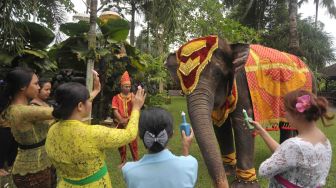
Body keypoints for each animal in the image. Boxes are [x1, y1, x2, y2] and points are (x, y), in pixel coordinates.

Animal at [165, 35, 316, 188]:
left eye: (218, 74)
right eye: (181, 81)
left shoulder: (243, 86)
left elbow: (241, 122)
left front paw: (244, 184)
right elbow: (220, 125)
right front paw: (228, 171)